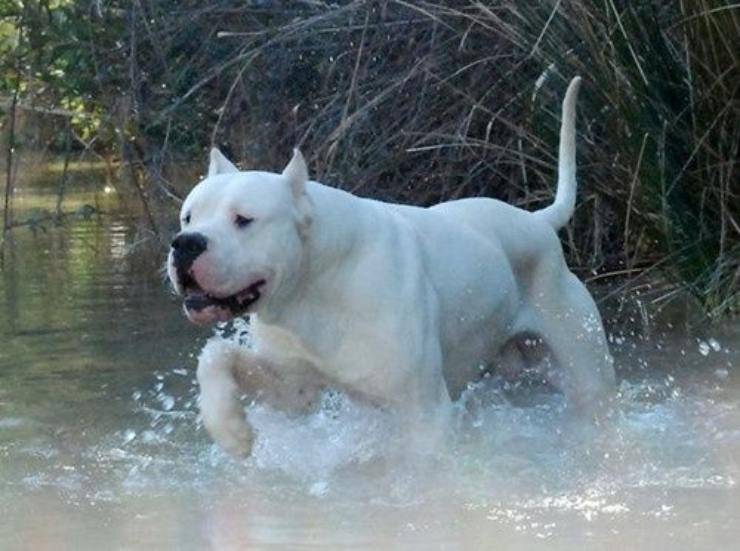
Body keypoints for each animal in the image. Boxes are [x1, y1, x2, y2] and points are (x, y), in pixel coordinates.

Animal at [168, 77, 612, 458]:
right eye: (188, 218)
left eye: (244, 220)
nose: (185, 244)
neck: (313, 285)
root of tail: (537, 221)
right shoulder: (293, 388)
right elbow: (215, 355)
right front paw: (229, 428)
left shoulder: (425, 414)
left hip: (584, 365)